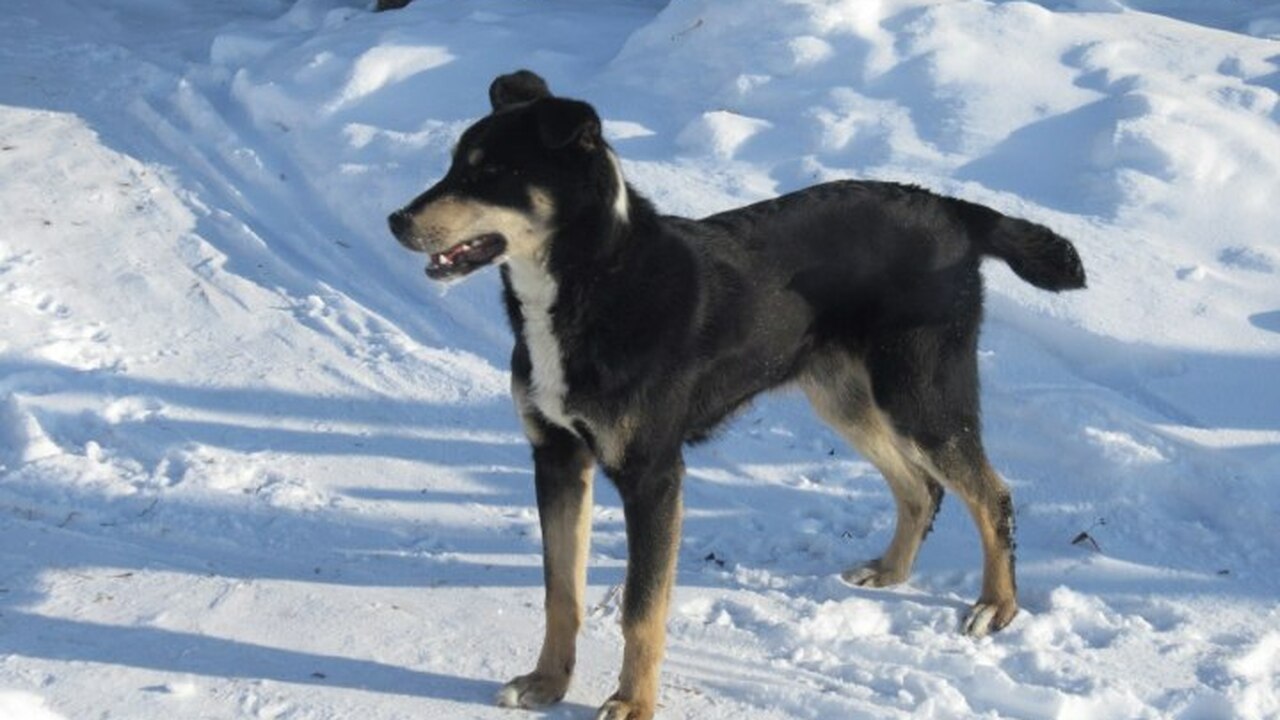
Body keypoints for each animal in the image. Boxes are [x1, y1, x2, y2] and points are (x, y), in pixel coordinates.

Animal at [386, 68, 1080, 717]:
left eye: (492, 173)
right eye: (454, 164)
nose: (396, 221)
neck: (591, 281)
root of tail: (953, 209)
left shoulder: (654, 476)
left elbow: (641, 608)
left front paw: (632, 702)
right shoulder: (556, 457)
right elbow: (562, 591)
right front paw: (548, 684)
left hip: (921, 395)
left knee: (991, 494)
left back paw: (996, 606)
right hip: (846, 397)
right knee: (921, 488)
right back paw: (890, 571)